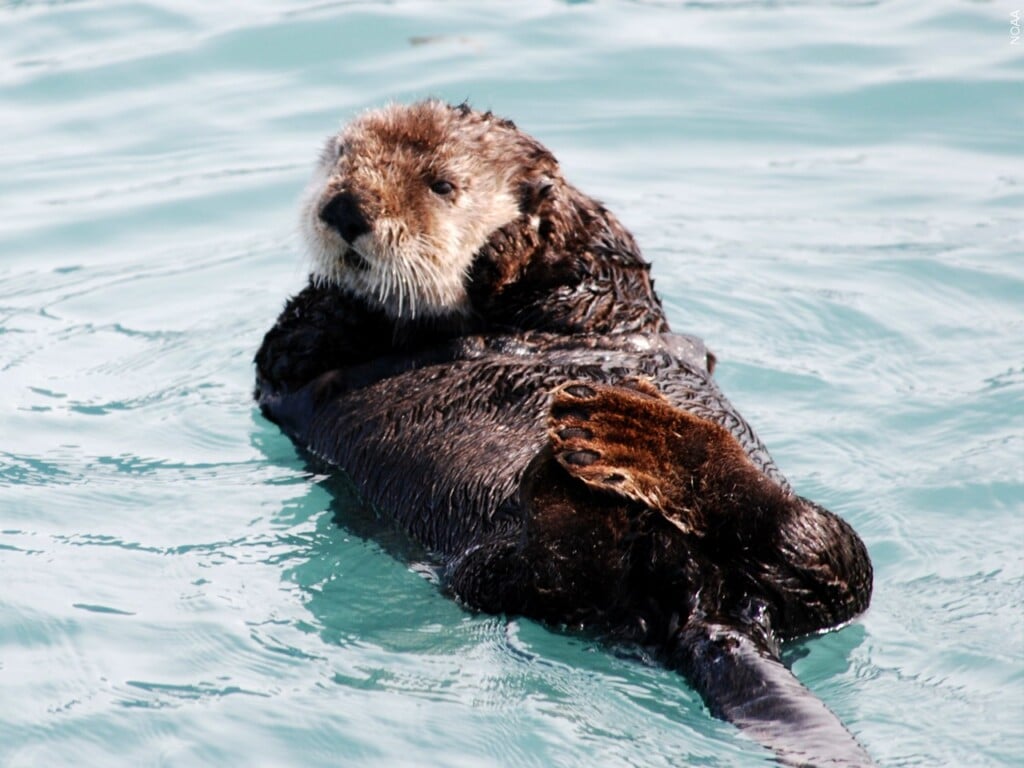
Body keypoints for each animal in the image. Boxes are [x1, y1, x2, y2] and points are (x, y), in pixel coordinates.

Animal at [254, 100, 874, 766]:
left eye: (442, 185)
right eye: (340, 160)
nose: (345, 207)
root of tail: (706, 606)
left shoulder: (609, 290)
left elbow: (603, 261)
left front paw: (515, 231)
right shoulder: (293, 365)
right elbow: (298, 339)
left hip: (812, 564)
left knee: (815, 545)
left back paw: (638, 439)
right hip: (495, 576)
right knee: (562, 566)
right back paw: (581, 468)